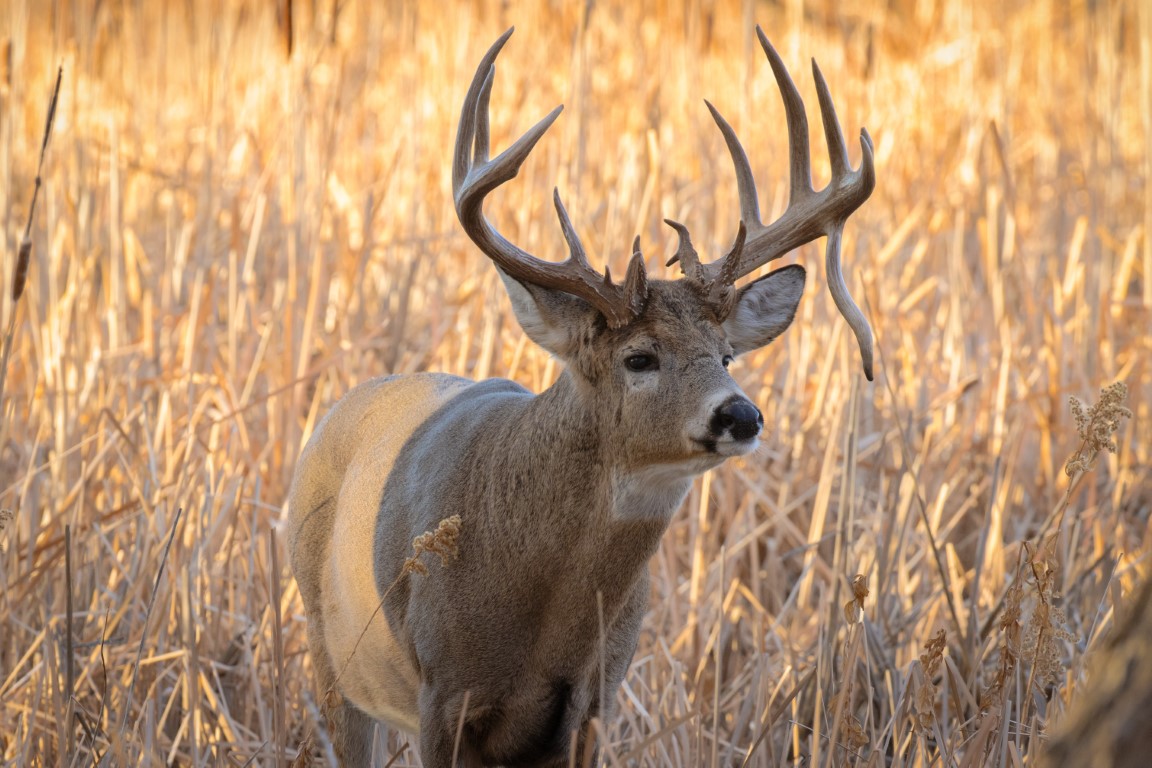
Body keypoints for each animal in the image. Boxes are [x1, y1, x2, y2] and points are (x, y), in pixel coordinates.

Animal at [287, 25, 875, 768]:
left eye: (726, 355)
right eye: (639, 357)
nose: (741, 414)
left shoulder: (596, 698)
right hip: (330, 653)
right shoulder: (440, 692)